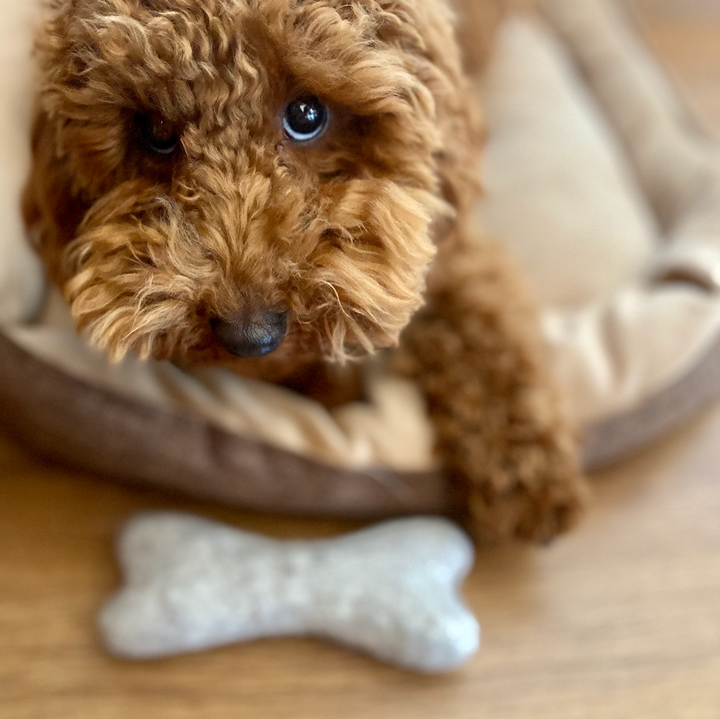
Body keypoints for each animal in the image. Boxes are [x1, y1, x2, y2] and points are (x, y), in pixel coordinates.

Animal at [22, 0, 588, 544]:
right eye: (155, 131)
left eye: (307, 114)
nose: (251, 334)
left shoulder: (442, 231)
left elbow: (481, 327)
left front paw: (523, 475)